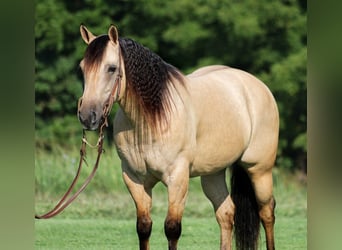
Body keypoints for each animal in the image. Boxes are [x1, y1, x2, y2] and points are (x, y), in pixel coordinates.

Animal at [77, 23, 278, 250]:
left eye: (111, 68)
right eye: (82, 68)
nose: (87, 116)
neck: (151, 120)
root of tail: (257, 86)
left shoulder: (177, 179)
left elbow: (172, 228)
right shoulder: (134, 179)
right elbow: (143, 227)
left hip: (259, 170)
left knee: (266, 212)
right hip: (213, 173)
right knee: (226, 213)